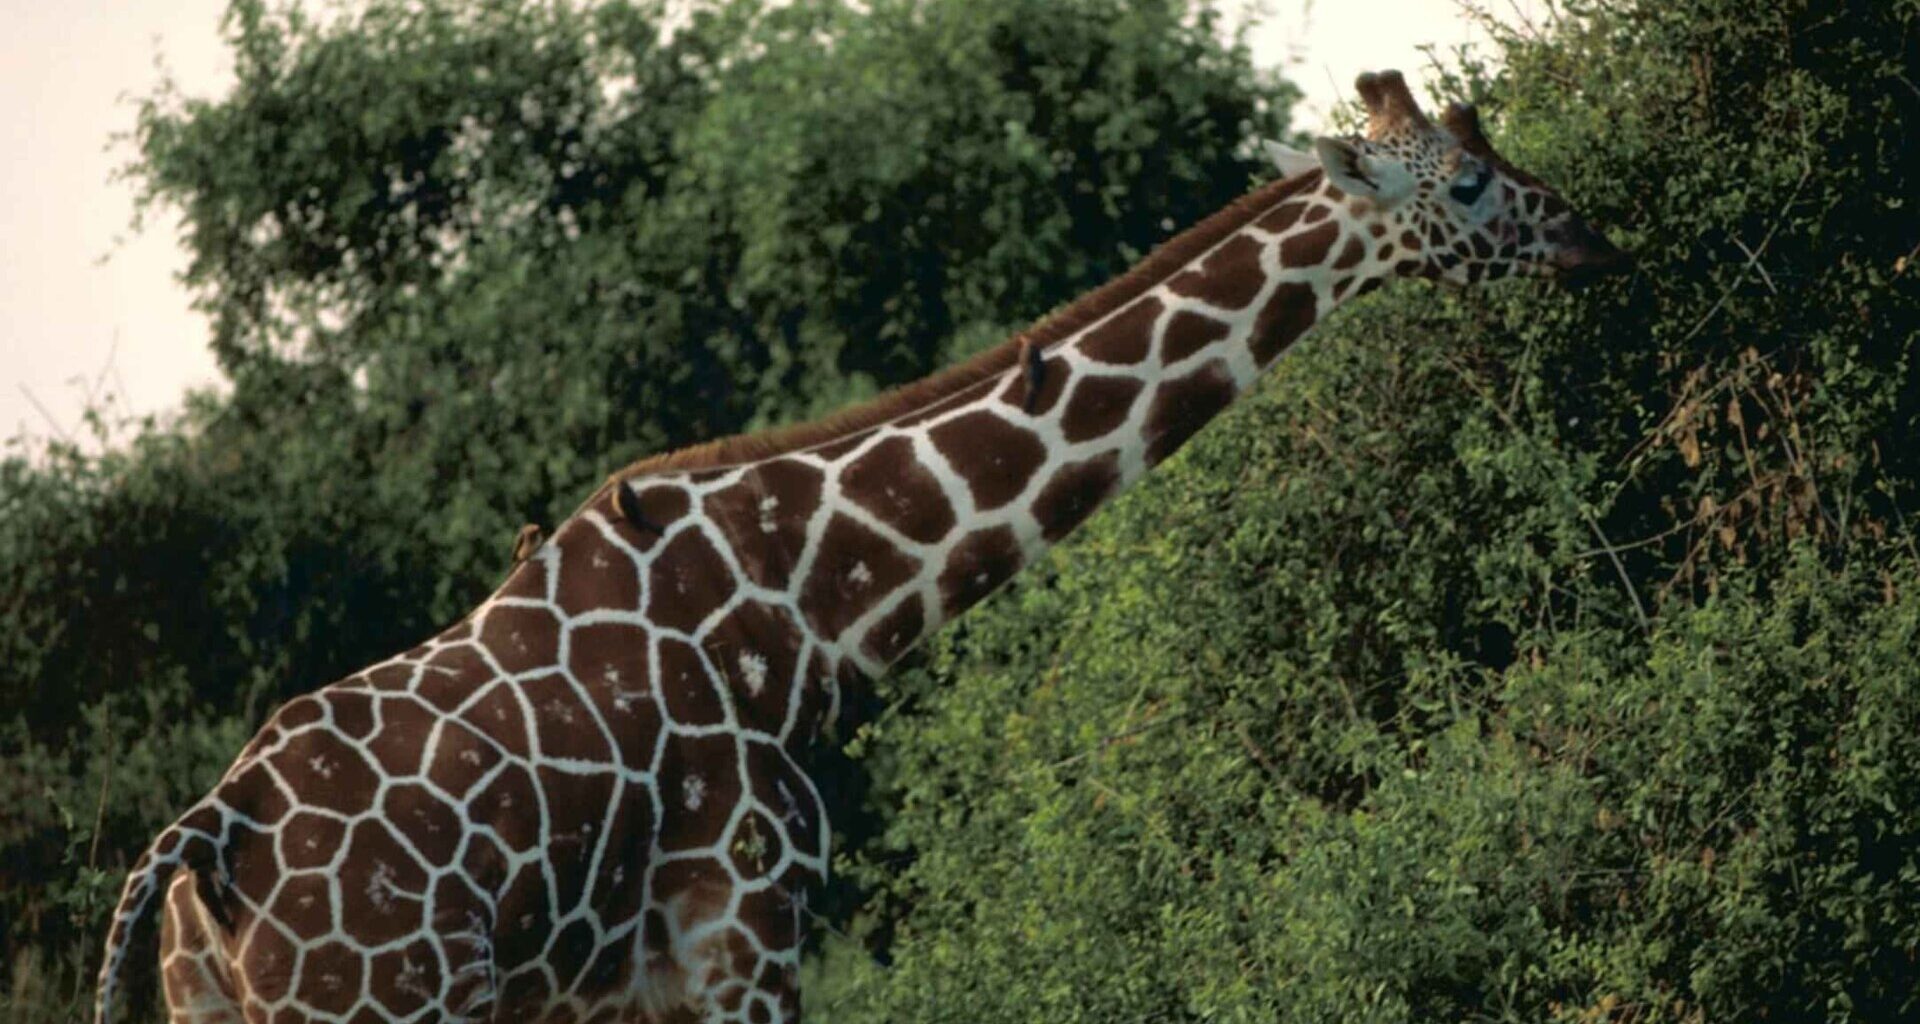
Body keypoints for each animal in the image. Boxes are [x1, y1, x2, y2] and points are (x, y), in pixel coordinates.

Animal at [94, 70, 1627, 1024]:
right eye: (1469, 184)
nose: (1586, 234)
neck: (808, 613)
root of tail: (197, 846)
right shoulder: (745, 927)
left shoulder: (628, 981)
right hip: (382, 996)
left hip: (225, 1005)